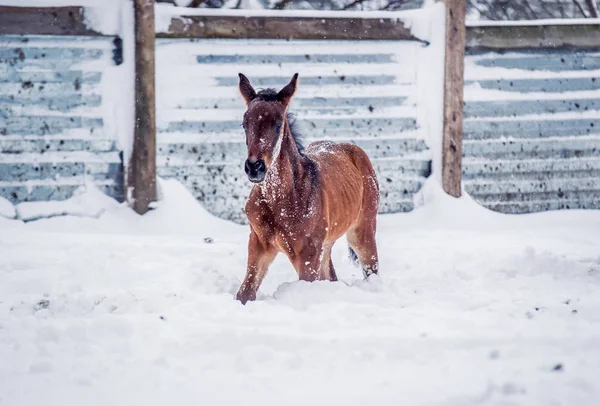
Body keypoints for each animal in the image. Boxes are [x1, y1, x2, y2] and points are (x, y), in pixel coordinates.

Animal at [236, 73, 380, 302]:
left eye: (278, 124)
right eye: (244, 124)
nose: (254, 167)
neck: (282, 203)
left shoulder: (307, 255)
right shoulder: (258, 244)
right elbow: (244, 294)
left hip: (362, 231)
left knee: (372, 271)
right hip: (327, 245)